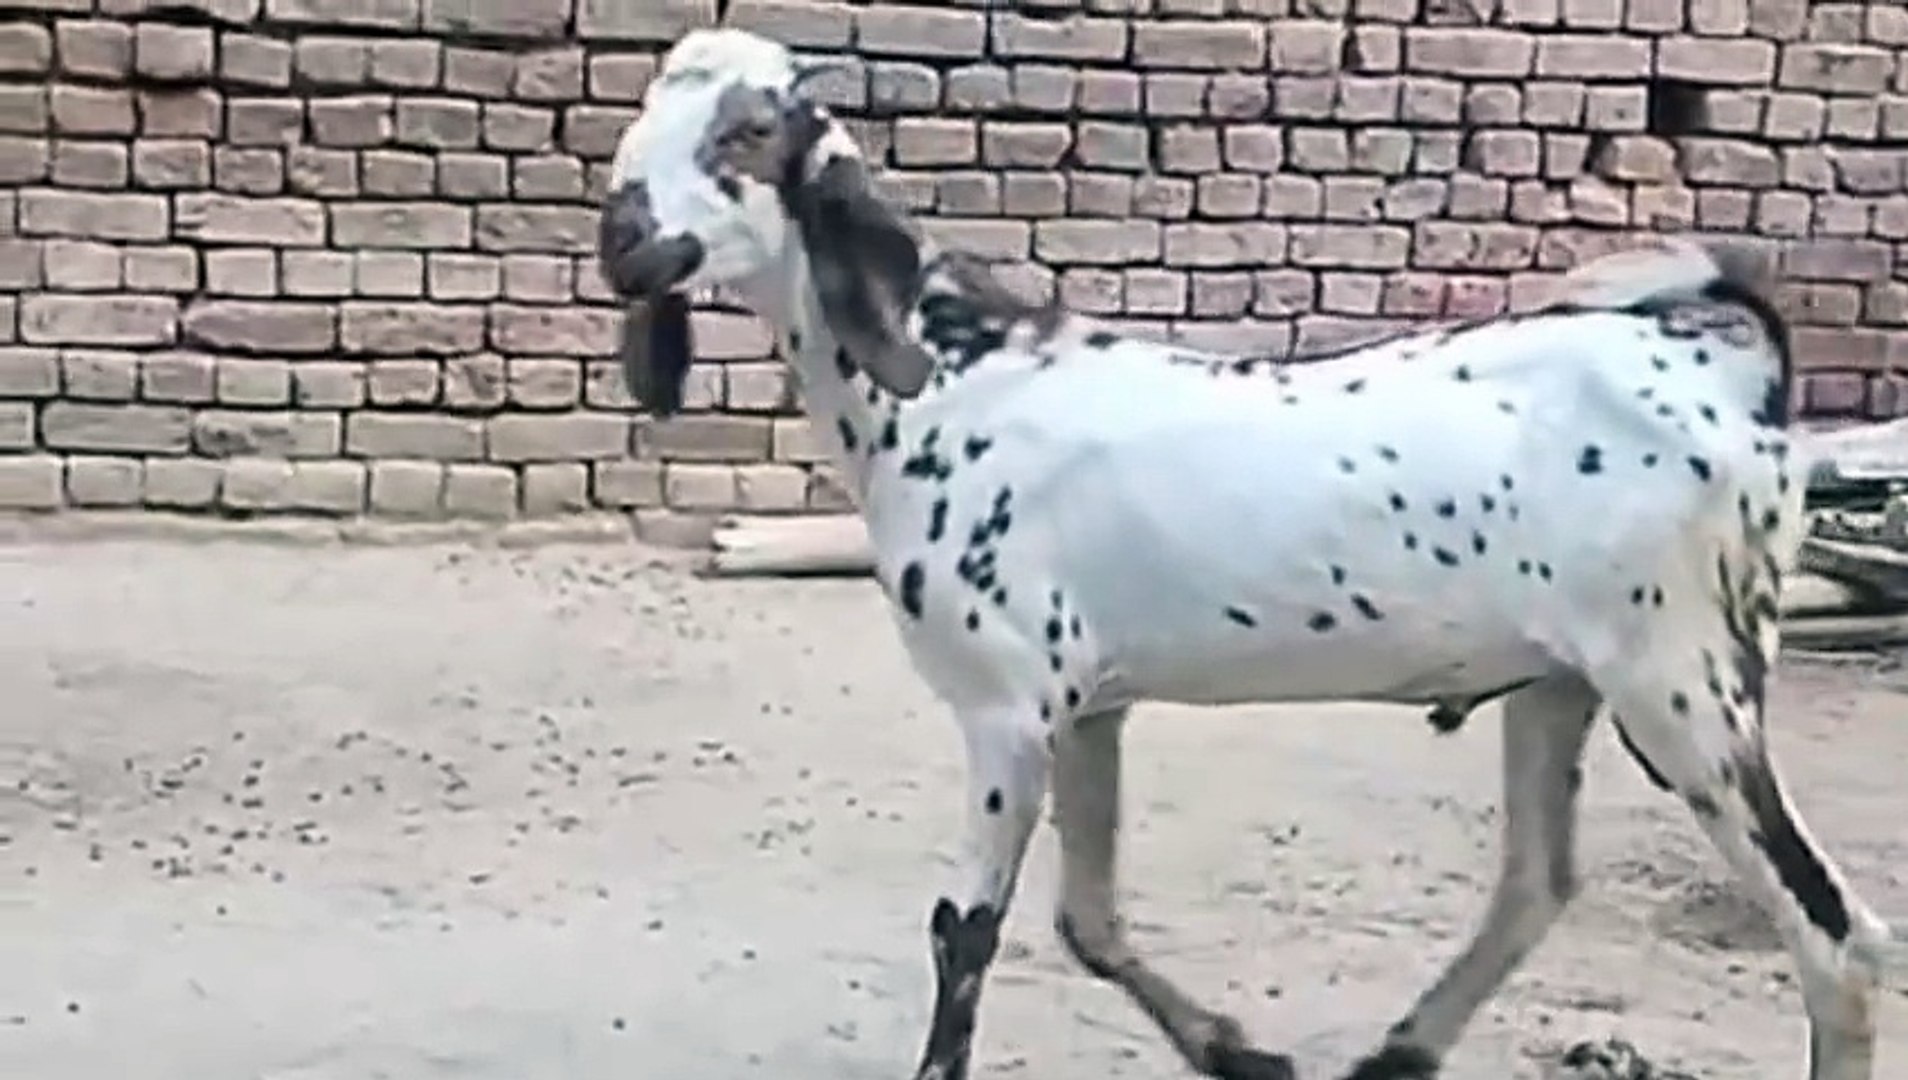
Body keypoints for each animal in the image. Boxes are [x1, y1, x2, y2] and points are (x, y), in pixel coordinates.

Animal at [598, 27, 1903, 1080]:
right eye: (645, 119)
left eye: (749, 131)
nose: (625, 245)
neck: (948, 376)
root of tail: (1732, 377)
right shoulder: (1088, 705)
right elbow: (1085, 921)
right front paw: (1240, 1052)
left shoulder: (1006, 705)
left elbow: (962, 931)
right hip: (1566, 679)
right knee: (1540, 881)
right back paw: (1399, 1051)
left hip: (1685, 681)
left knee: (1836, 934)